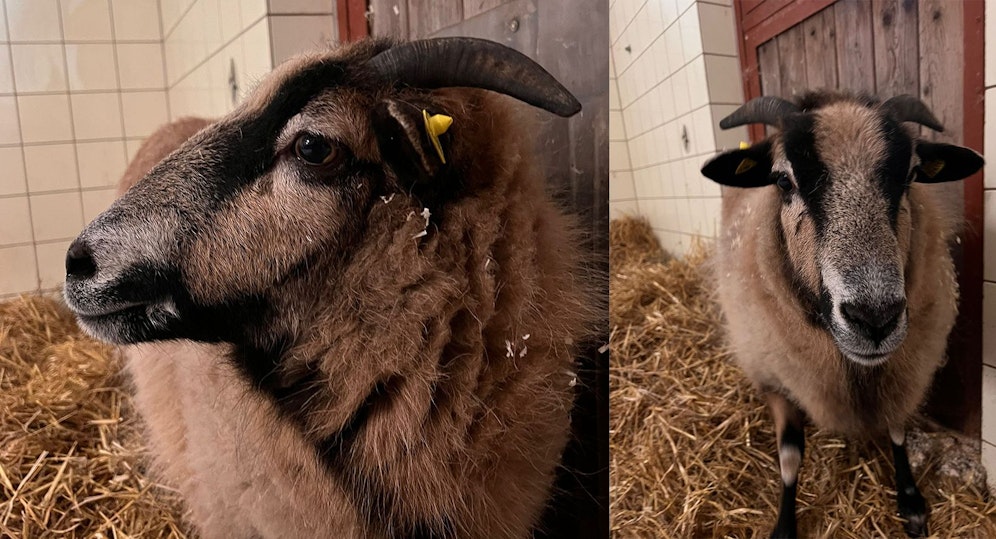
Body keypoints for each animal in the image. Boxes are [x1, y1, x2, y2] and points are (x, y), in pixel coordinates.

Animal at [700, 90, 988, 536]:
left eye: (910, 175)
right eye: (783, 181)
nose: (875, 319)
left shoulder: (904, 370)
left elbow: (898, 429)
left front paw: (911, 502)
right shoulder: (776, 378)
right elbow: (790, 456)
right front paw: (784, 526)